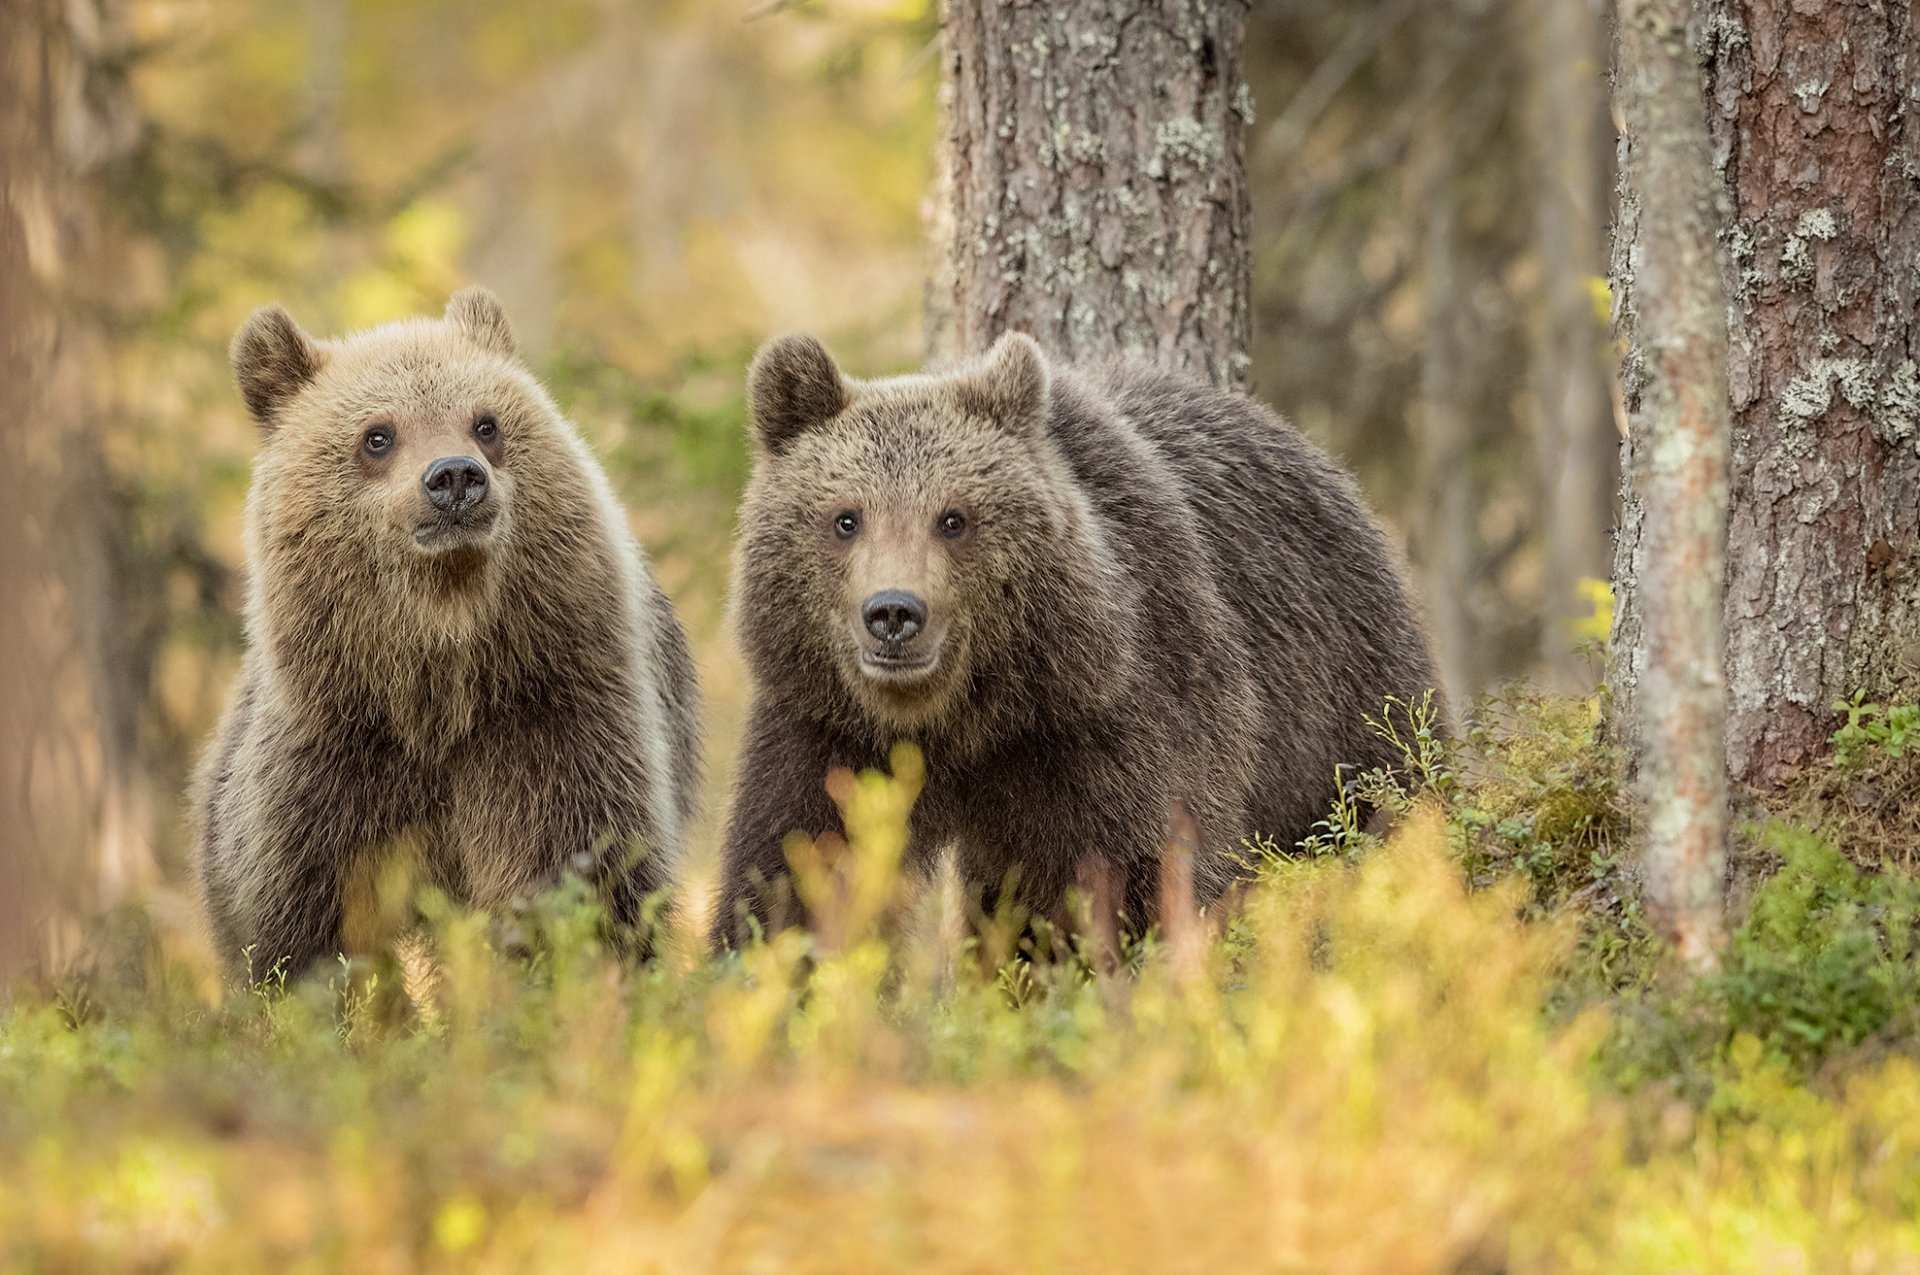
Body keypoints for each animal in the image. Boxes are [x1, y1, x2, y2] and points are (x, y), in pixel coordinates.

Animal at [193, 289, 700, 978]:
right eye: (377, 435)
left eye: (485, 423)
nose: (455, 476)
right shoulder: (331, 758)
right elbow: (300, 927)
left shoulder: (551, 719)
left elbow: (579, 873)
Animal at [711, 331, 1440, 946]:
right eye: (846, 517)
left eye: (953, 517)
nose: (893, 612)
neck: (963, 722)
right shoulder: (828, 730)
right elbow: (795, 874)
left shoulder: (1103, 720)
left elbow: (1138, 870)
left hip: (1338, 703)